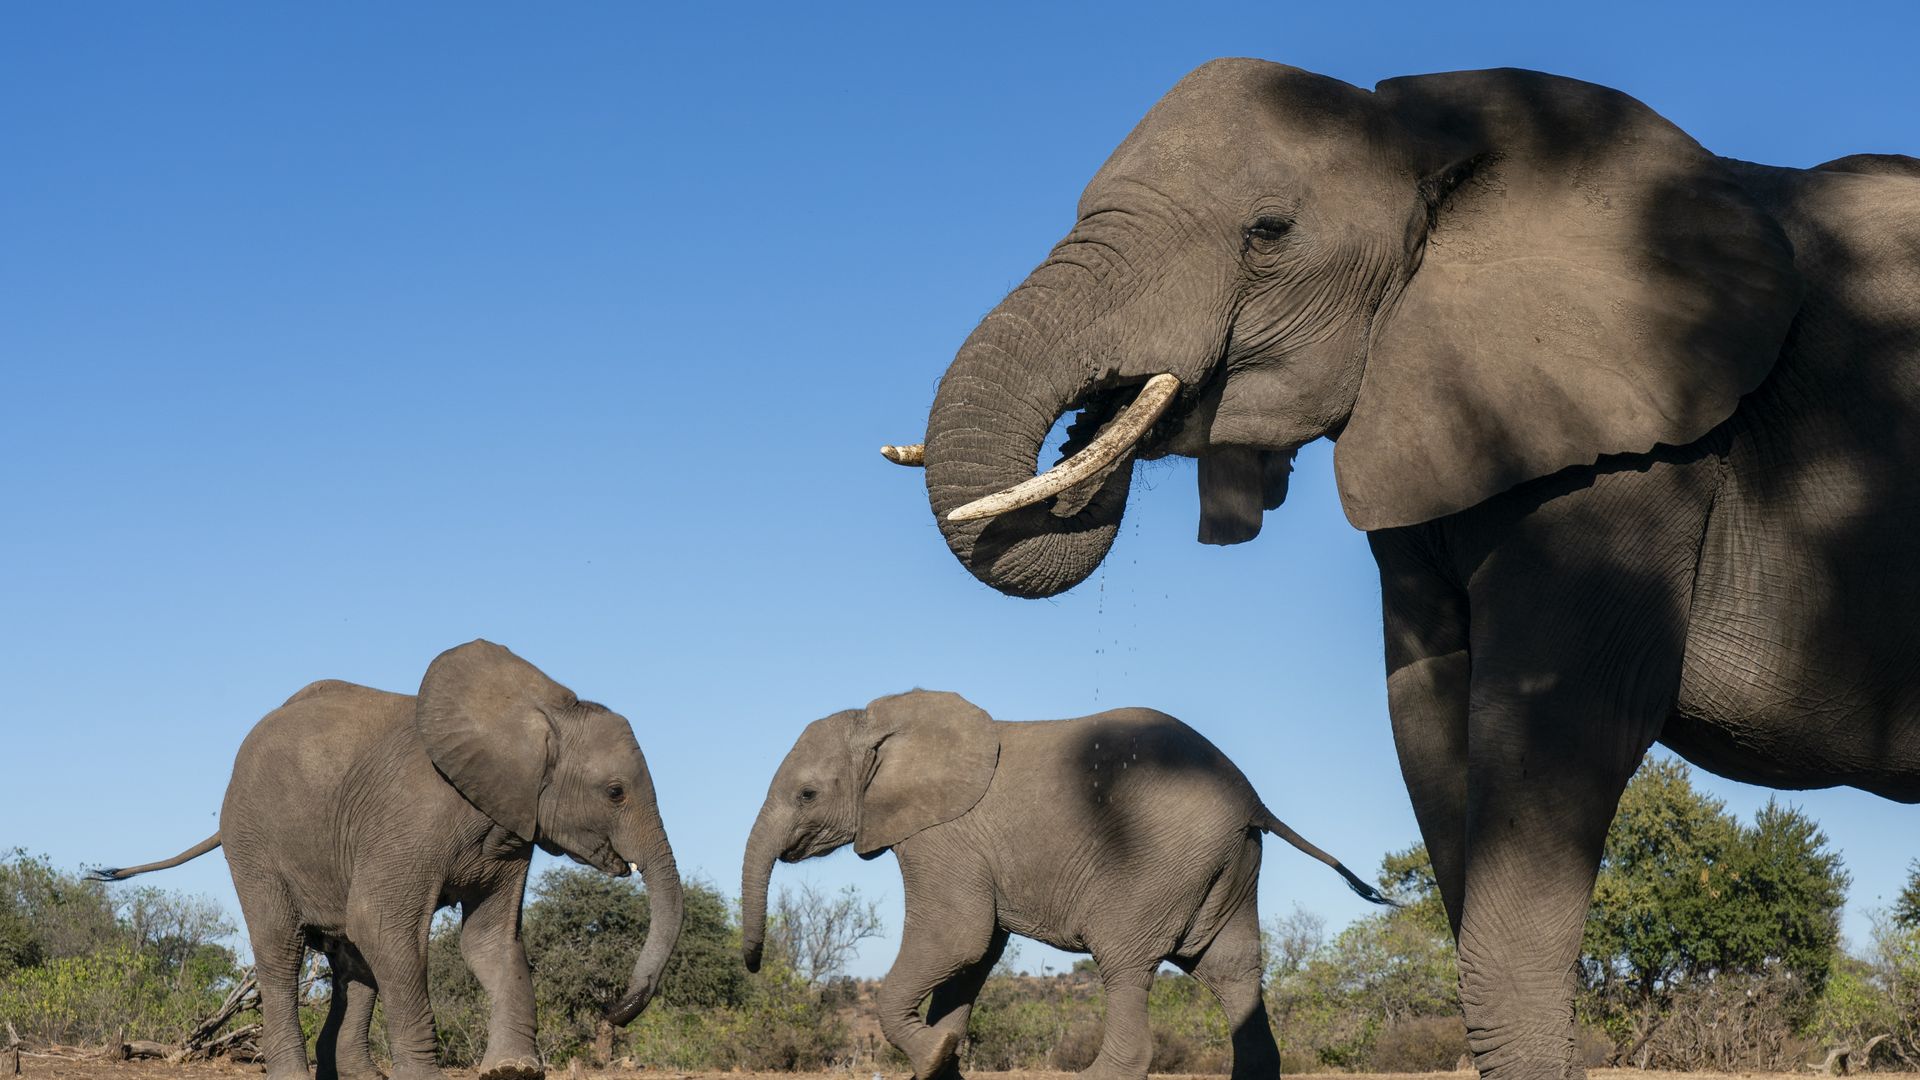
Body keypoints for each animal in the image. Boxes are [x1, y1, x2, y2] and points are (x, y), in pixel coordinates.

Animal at [94, 640, 682, 1080]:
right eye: (615, 793)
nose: (616, 1009)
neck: (537, 711)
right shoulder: (412, 817)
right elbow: (382, 924)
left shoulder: (512, 826)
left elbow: (489, 941)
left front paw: (512, 1071)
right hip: (253, 840)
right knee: (282, 950)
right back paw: (298, 1073)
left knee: (351, 959)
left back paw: (358, 1076)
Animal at [739, 689, 1389, 1080]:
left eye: (807, 795)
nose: (752, 964)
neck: (887, 723)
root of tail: (1252, 796)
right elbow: (975, 956)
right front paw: (942, 1061)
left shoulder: (941, 836)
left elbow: (959, 938)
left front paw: (934, 1054)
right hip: (1231, 864)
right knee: (1232, 969)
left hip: (1156, 863)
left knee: (1125, 962)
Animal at [880, 59, 1920, 1080]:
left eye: (1268, 233)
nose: (1098, 415)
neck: (1432, 139)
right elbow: (1427, 716)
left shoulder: (1640, 457)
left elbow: (1561, 730)